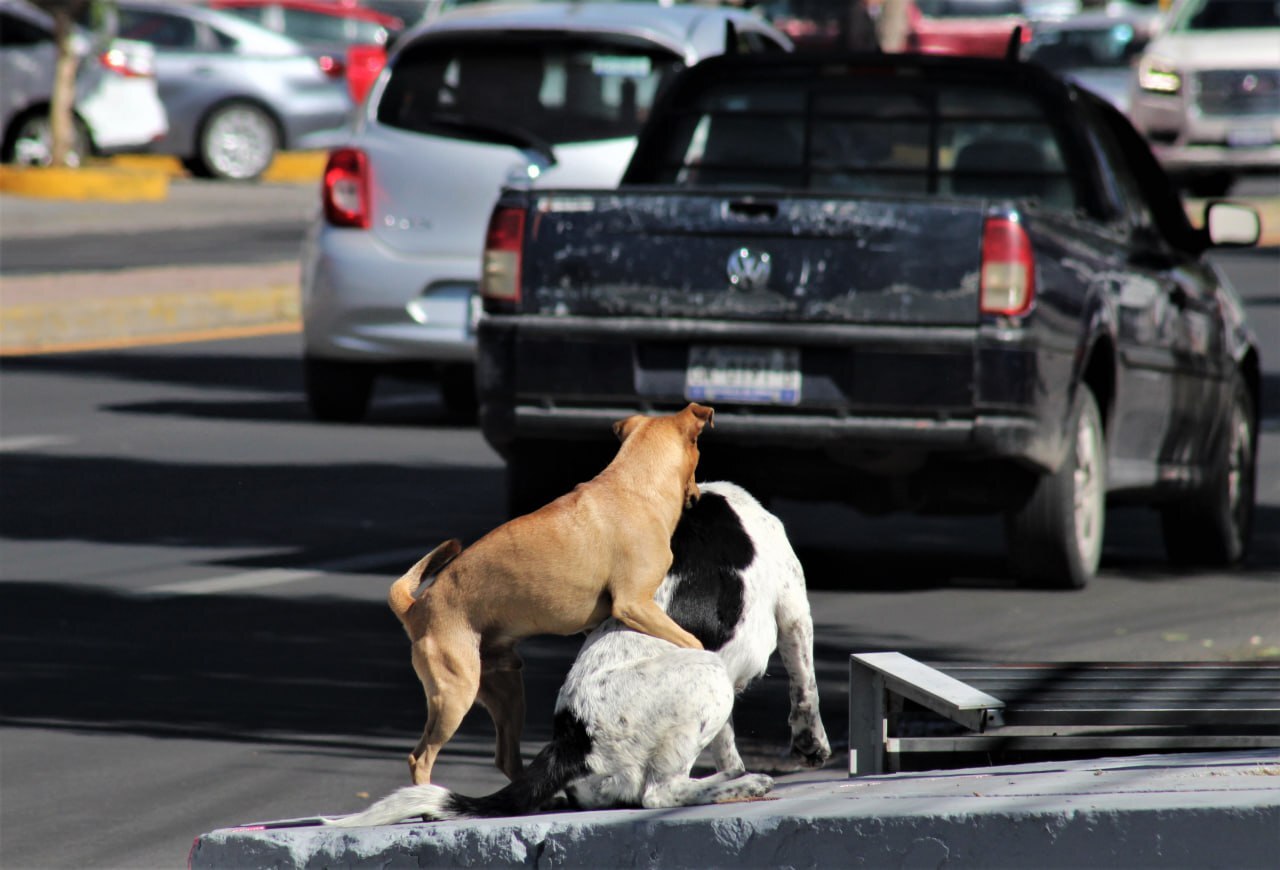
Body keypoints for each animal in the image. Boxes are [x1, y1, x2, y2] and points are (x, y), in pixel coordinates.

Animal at [325, 483, 834, 829]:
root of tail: (573, 740)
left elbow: (726, 739)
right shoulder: (794, 607)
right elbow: (805, 685)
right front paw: (811, 746)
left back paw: (733, 778)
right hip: (708, 671)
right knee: (659, 794)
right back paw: (740, 784)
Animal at [384, 404, 716, 783]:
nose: (699, 494)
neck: (634, 486)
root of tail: (417, 607)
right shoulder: (635, 605)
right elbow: (692, 641)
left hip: (508, 694)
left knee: (506, 759)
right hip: (454, 696)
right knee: (421, 758)